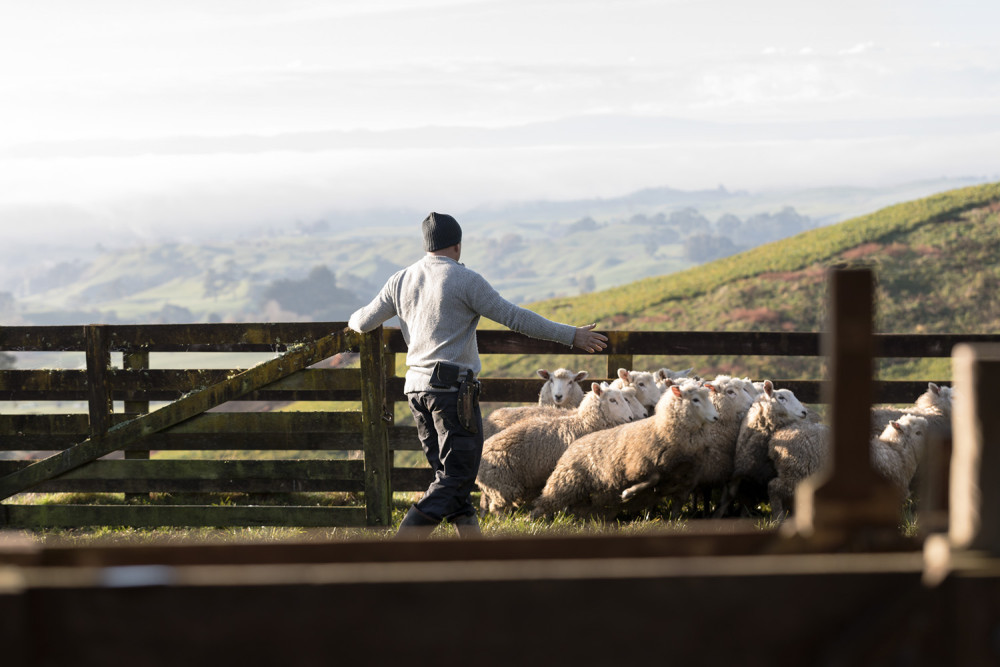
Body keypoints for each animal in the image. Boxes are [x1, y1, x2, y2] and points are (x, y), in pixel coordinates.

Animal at [532, 378, 720, 524]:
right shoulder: (637, 465)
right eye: (695, 400)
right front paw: (628, 493)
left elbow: (674, 509)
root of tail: (575, 444)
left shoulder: (685, 483)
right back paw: (533, 520)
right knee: (543, 503)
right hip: (564, 483)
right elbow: (652, 479)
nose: (716, 417)